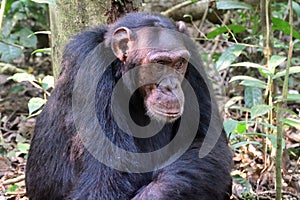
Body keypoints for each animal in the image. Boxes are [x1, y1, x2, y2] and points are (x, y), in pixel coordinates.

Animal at [25, 12, 232, 200]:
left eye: (179, 63)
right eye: (159, 63)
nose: (171, 86)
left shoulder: (193, 58)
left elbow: (206, 144)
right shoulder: (89, 68)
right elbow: (106, 181)